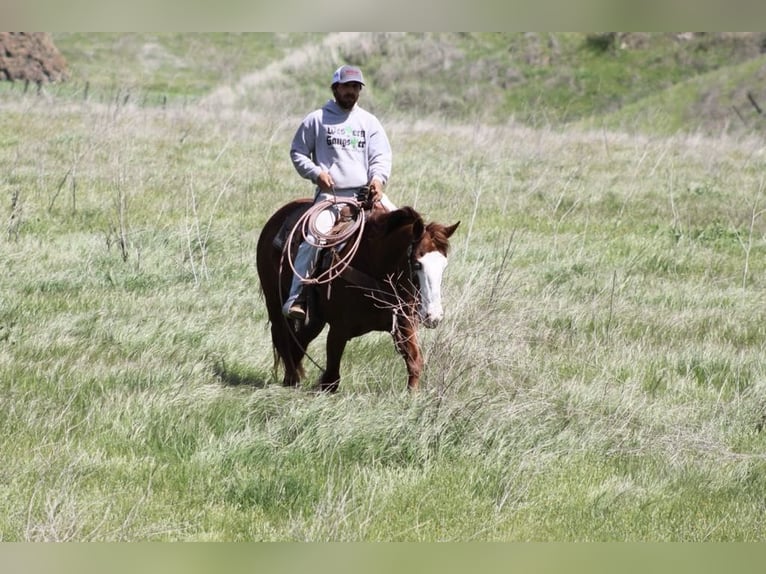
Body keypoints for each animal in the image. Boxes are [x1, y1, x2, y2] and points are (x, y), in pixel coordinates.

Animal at [255, 197, 460, 392]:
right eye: (417, 264)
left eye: (444, 265)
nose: (433, 316)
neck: (375, 266)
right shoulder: (339, 329)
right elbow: (331, 379)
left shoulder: (404, 324)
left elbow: (415, 362)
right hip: (274, 301)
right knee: (281, 336)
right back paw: (292, 379)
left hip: (315, 319)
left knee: (299, 341)